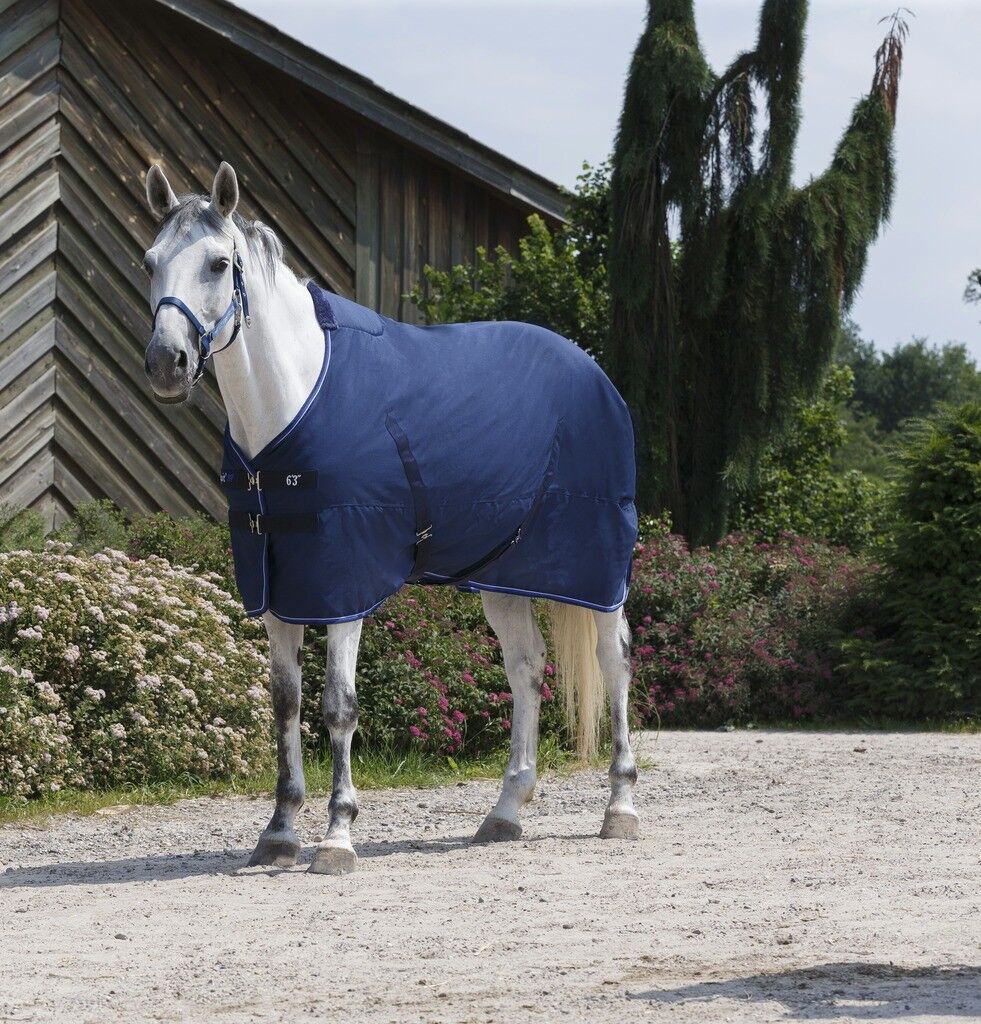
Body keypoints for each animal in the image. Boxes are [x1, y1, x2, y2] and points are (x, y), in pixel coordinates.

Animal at [141, 162, 639, 874]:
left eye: (218, 263)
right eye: (150, 262)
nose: (166, 363)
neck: (294, 400)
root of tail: (595, 375)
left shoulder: (343, 582)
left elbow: (337, 705)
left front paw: (337, 837)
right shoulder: (276, 583)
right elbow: (285, 703)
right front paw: (278, 832)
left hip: (598, 569)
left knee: (612, 661)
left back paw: (620, 808)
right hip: (502, 576)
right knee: (525, 668)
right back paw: (505, 813)